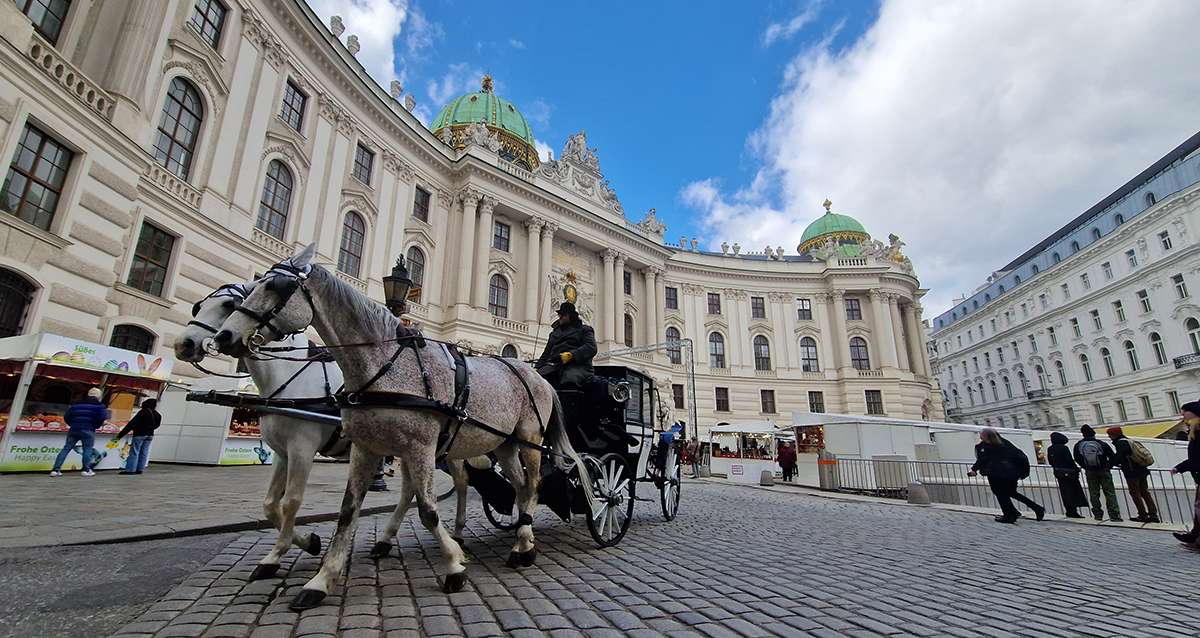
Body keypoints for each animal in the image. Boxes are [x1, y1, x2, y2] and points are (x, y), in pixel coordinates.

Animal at [174, 281, 472, 580]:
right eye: (199, 306)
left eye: (229, 305)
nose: (183, 344)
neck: (291, 378)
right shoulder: (282, 452)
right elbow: (270, 504)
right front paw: (307, 543)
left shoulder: (302, 448)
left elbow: (291, 501)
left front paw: (280, 553)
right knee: (412, 490)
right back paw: (388, 540)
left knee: (458, 484)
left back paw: (456, 533)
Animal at [211, 243, 595, 609]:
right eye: (253, 286)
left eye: (276, 287)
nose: (224, 336)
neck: (383, 365)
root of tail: (536, 374)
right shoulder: (366, 448)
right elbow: (346, 512)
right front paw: (321, 579)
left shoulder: (416, 447)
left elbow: (427, 510)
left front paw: (454, 565)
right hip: (502, 443)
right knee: (519, 486)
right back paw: (517, 538)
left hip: (529, 439)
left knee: (532, 485)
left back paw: (522, 545)